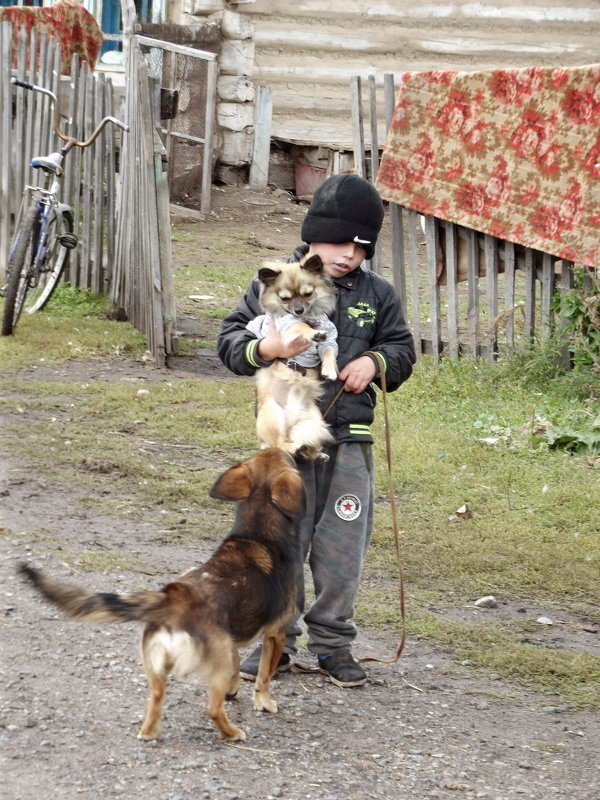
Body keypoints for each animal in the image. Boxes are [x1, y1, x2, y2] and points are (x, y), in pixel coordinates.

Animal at [18, 450, 304, 744]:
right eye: (287, 459)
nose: (294, 452)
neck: (257, 533)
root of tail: (174, 598)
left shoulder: (231, 640)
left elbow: (238, 665)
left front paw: (234, 690)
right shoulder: (275, 634)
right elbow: (264, 676)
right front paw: (265, 702)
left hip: (160, 665)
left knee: (157, 696)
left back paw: (150, 732)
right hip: (214, 662)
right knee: (213, 709)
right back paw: (232, 733)